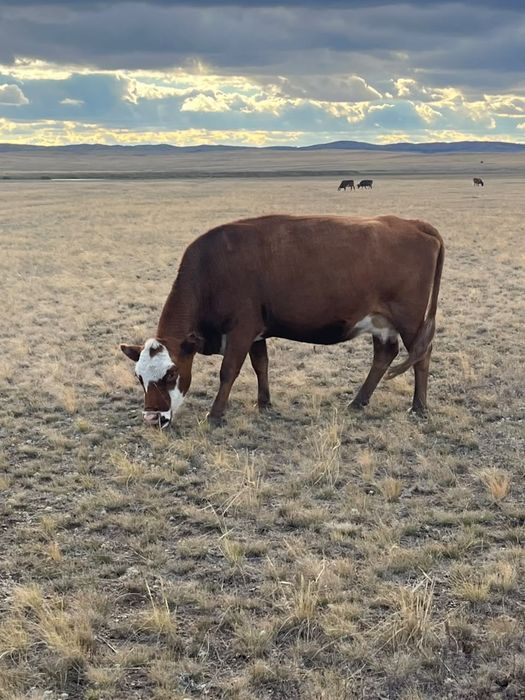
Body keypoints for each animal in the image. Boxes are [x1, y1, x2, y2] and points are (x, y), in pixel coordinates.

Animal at [121, 214, 444, 428]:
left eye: (171, 374)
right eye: (139, 377)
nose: (152, 418)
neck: (213, 271)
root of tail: (415, 224)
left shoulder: (241, 330)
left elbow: (229, 371)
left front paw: (215, 414)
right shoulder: (256, 332)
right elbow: (261, 365)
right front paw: (263, 402)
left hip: (410, 321)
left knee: (421, 355)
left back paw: (418, 407)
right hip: (381, 322)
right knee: (384, 356)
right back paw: (358, 401)